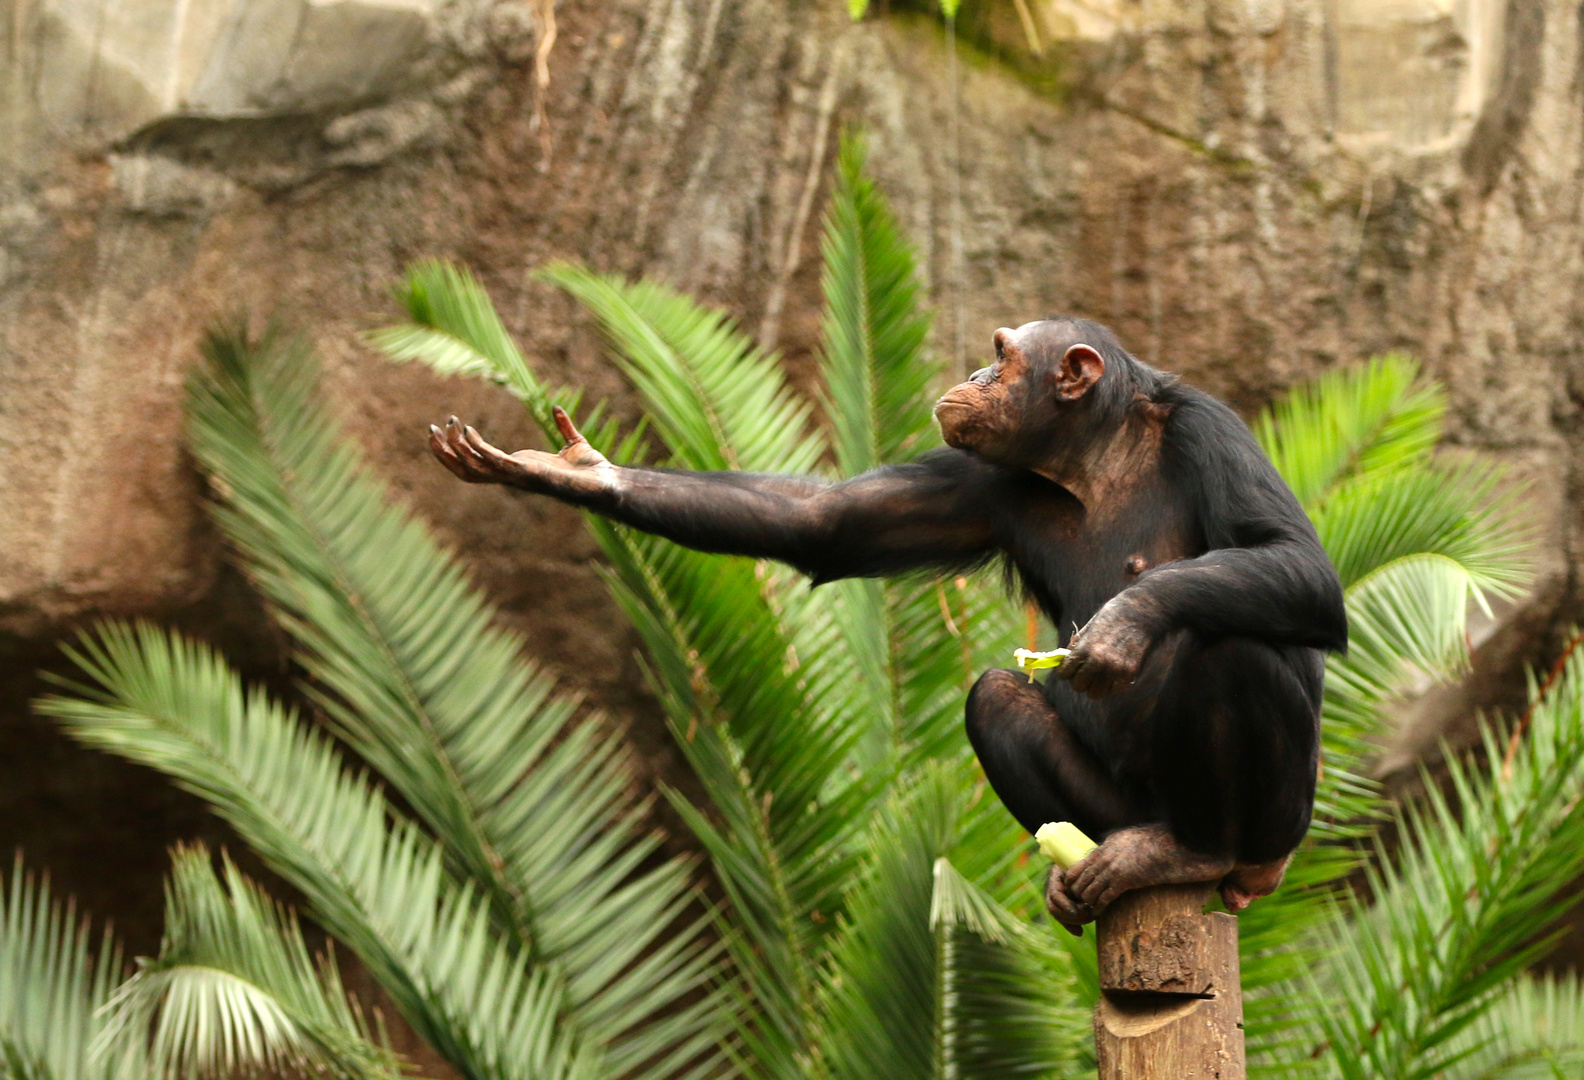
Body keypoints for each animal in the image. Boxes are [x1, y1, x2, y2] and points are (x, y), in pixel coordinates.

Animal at [430, 315, 1349, 931]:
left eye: (1003, 354)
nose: (974, 372)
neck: (1095, 457)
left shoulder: (1210, 429)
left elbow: (1298, 562)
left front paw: (1126, 621)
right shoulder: (980, 483)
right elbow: (831, 524)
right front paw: (581, 474)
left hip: (1276, 825)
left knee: (1235, 646)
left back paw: (1199, 850)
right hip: (1112, 810)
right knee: (995, 700)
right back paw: (1101, 864)